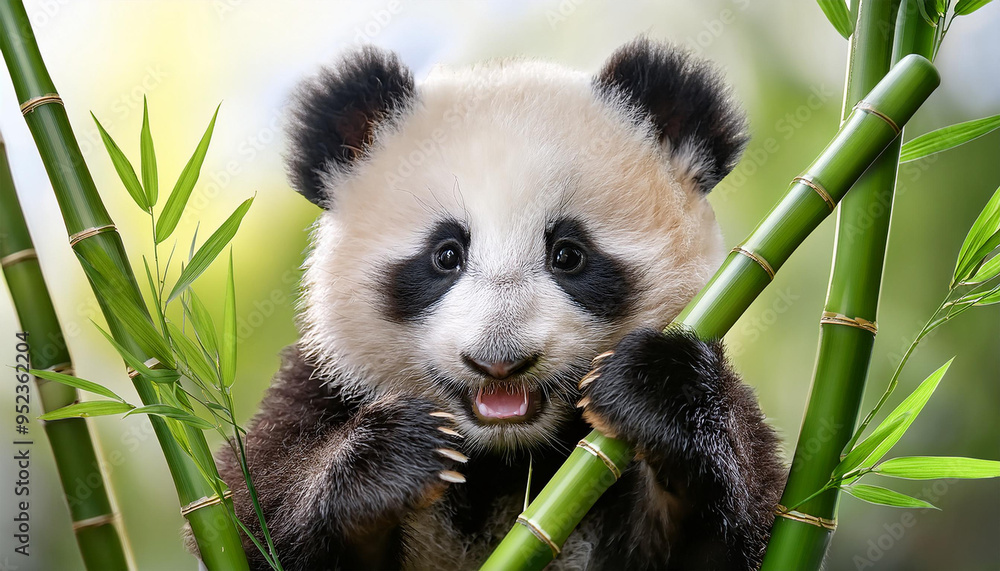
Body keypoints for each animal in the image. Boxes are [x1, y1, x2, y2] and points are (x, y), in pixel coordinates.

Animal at [216, 38, 785, 571]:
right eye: (446, 255)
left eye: (568, 254)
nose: (500, 362)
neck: (503, 459)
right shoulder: (317, 390)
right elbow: (258, 517)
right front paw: (395, 455)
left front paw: (657, 386)